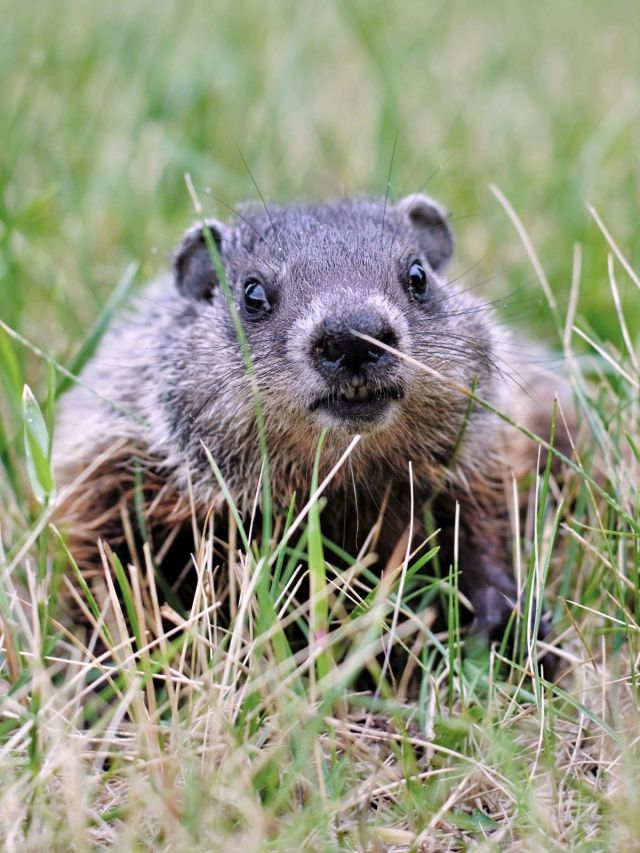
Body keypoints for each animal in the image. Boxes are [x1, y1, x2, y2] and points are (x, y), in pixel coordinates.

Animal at [54, 194, 568, 652]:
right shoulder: (113, 463)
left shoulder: (488, 449)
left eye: (418, 275)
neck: (344, 478)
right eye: (252, 293)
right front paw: (121, 651)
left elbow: (483, 514)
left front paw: (503, 611)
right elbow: (111, 560)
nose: (354, 337)